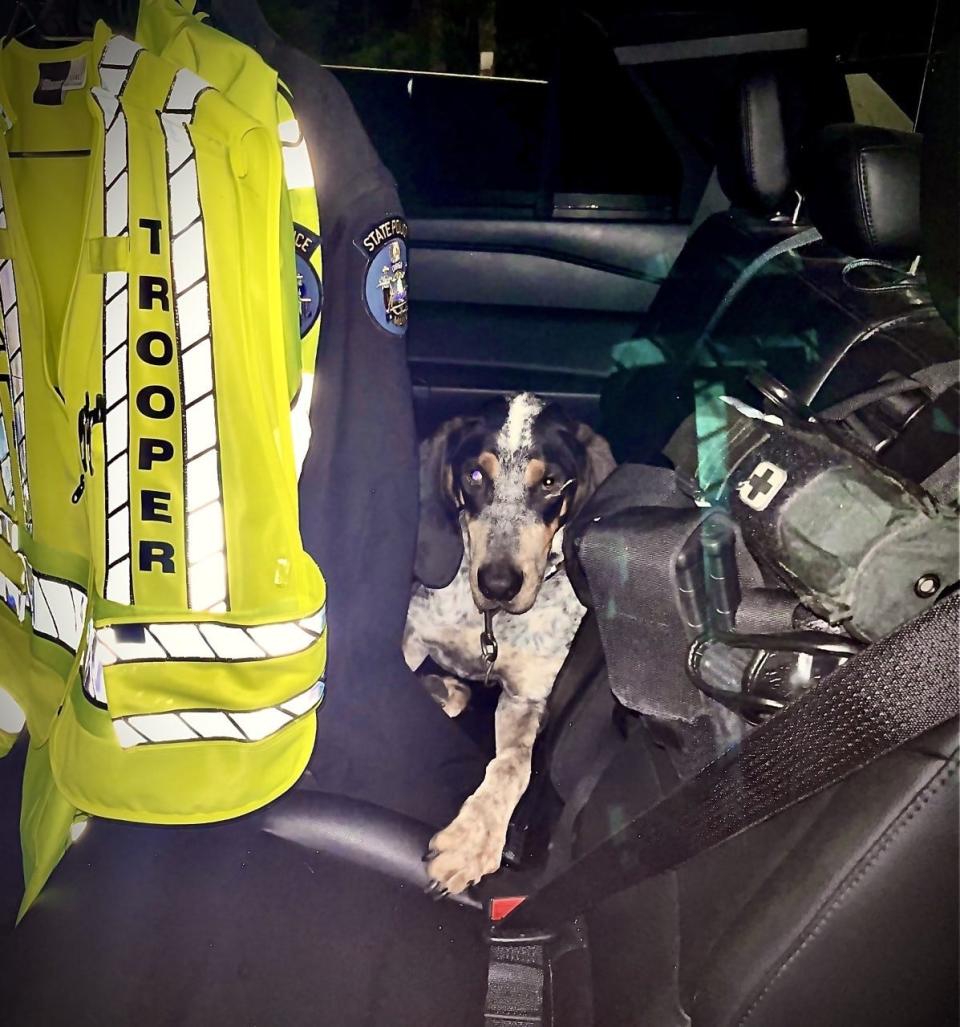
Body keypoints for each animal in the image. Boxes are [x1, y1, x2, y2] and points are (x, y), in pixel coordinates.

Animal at [404, 396, 616, 895]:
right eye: (474, 476)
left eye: (551, 482)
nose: (498, 584)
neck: (489, 623)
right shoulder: (412, 634)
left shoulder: (526, 700)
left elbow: (513, 766)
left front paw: (470, 843)